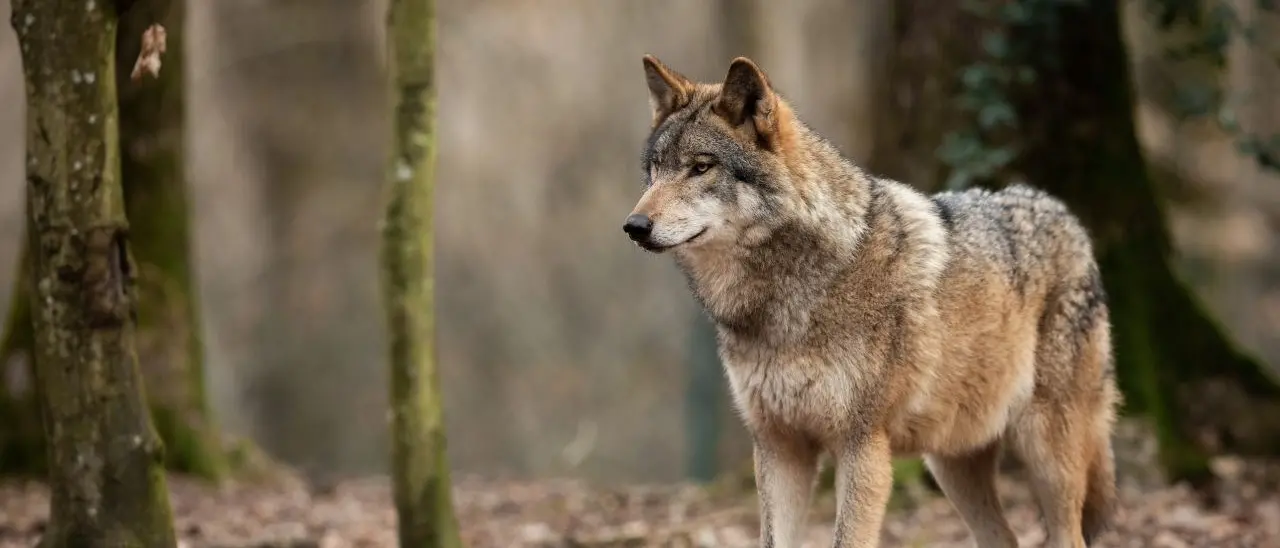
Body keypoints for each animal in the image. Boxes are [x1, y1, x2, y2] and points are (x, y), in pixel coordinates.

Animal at [622, 55, 1121, 548]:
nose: (634, 226)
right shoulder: (779, 447)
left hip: (1046, 453)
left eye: (700, 168)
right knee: (1004, 537)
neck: (788, 299)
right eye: (655, 171)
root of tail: (1065, 214)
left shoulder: (862, 446)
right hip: (951, 464)